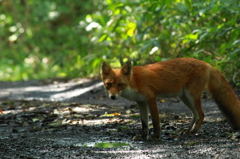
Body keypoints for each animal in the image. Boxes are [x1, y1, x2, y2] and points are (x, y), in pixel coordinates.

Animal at [100, 57, 240, 140]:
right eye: (109, 84)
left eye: (120, 84)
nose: (112, 97)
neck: (134, 82)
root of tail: (206, 63)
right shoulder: (141, 102)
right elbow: (144, 123)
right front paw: (143, 136)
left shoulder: (151, 98)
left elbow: (155, 121)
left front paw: (156, 136)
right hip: (184, 97)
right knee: (195, 114)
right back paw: (188, 130)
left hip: (191, 96)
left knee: (201, 114)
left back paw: (194, 131)